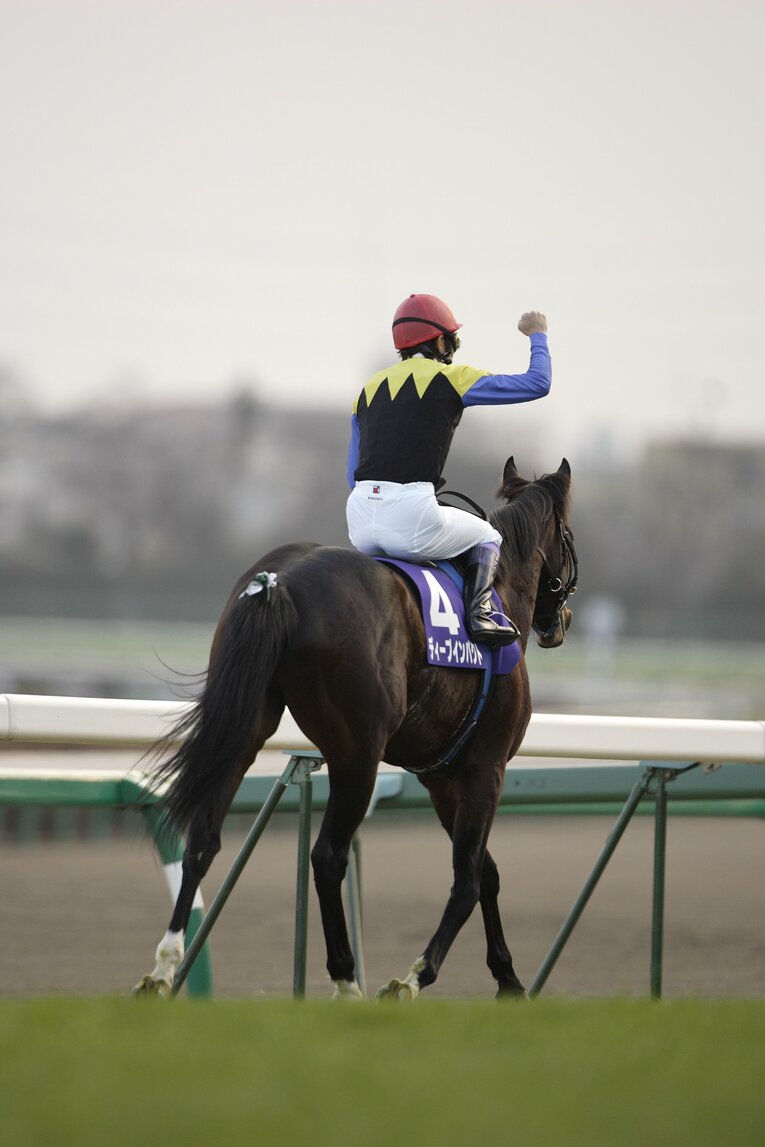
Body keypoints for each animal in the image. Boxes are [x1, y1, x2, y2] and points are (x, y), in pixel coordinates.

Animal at [133, 456, 577, 1000]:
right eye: (568, 535)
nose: (560, 620)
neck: (502, 591)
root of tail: (281, 581)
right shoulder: (485, 767)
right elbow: (470, 877)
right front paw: (415, 976)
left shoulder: (441, 777)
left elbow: (486, 873)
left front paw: (508, 979)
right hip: (358, 755)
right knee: (328, 856)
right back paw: (347, 980)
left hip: (245, 729)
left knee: (203, 839)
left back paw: (163, 967)